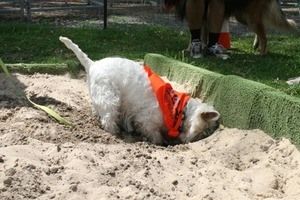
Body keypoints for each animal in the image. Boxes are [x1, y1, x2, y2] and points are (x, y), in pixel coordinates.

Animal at [59, 36, 219, 144]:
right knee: (108, 118)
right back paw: (115, 132)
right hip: (110, 97)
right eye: (206, 131)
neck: (179, 109)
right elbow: (154, 134)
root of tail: (93, 64)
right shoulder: (146, 119)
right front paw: (159, 142)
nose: (192, 141)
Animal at [165, 0, 298, 54]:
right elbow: (200, 35)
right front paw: (197, 48)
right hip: (243, 16)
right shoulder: (203, 17)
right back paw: (257, 45)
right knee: (262, 30)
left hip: (249, 16)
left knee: (264, 35)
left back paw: (262, 53)